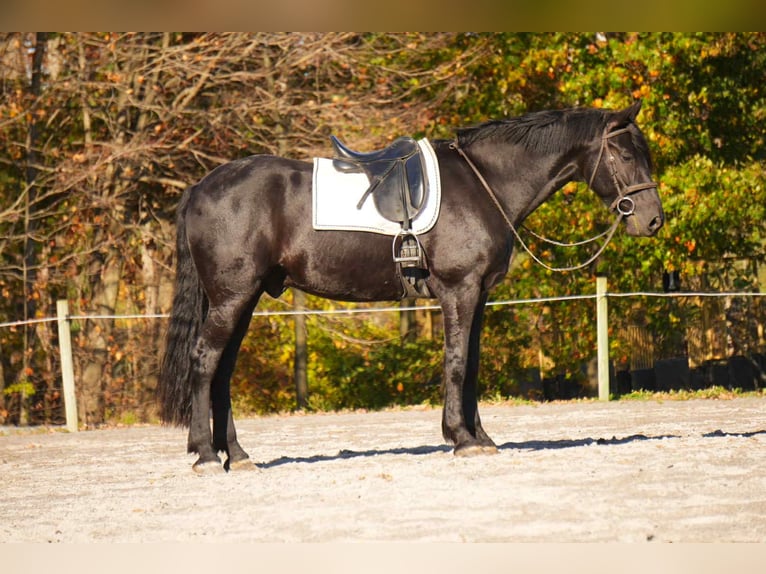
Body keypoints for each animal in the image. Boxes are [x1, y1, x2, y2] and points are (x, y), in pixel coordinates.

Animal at [158, 100, 664, 473]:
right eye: (625, 155)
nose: (653, 221)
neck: (484, 183)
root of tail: (202, 187)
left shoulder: (480, 294)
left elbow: (472, 365)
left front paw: (480, 437)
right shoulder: (459, 291)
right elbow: (456, 364)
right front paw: (461, 439)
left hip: (243, 300)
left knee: (222, 370)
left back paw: (237, 456)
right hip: (231, 298)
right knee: (204, 361)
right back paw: (207, 455)